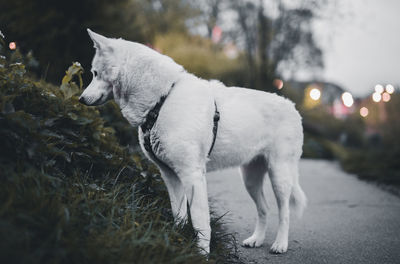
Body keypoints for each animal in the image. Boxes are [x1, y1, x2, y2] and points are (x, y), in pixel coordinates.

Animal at [80, 29, 306, 256]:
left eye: (95, 73)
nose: (81, 99)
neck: (161, 100)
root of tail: (292, 107)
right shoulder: (170, 175)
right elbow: (178, 215)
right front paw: (177, 241)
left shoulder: (192, 175)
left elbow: (200, 221)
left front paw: (202, 254)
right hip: (250, 178)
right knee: (264, 208)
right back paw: (256, 239)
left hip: (279, 175)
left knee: (284, 211)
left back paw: (280, 244)